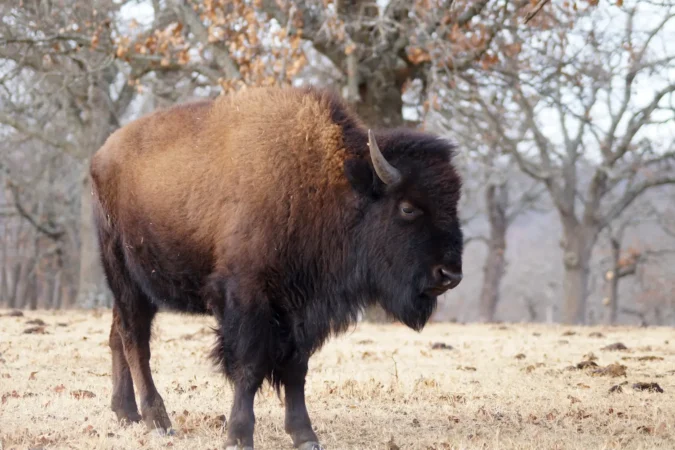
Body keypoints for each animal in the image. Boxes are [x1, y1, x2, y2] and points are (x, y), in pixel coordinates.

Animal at [90, 85, 464, 450]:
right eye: (407, 207)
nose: (450, 274)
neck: (326, 184)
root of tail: (101, 155)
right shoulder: (248, 299)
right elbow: (249, 367)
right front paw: (239, 437)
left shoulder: (302, 308)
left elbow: (296, 369)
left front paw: (305, 436)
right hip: (125, 275)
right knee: (135, 340)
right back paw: (159, 421)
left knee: (117, 335)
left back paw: (126, 413)